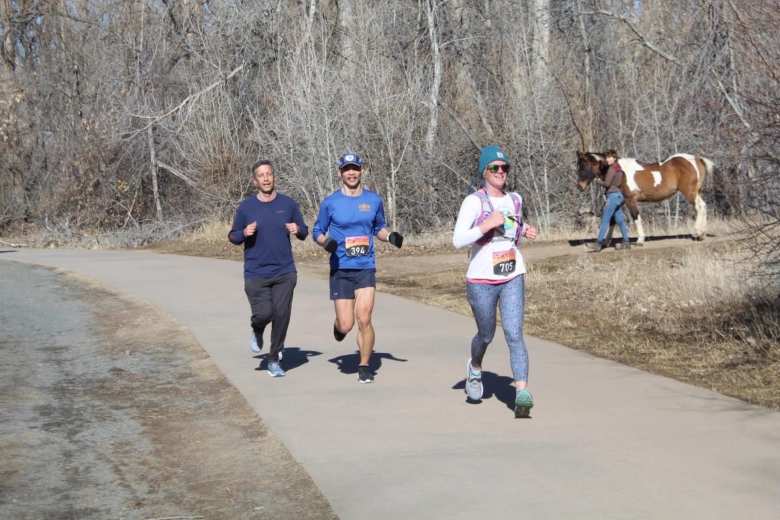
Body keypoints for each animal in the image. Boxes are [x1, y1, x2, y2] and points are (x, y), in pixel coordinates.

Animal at [576, 152, 716, 244]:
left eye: (584, 166)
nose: (579, 186)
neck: (618, 172)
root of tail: (697, 159)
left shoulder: (630, 200)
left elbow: (636, 217)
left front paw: (640, 239)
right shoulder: (618, 202)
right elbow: (613, 220)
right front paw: (606, 241)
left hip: (689, 192)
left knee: (700, 207)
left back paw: (697, 233)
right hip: (696, 192)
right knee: (703, 206)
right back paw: (702, 233)